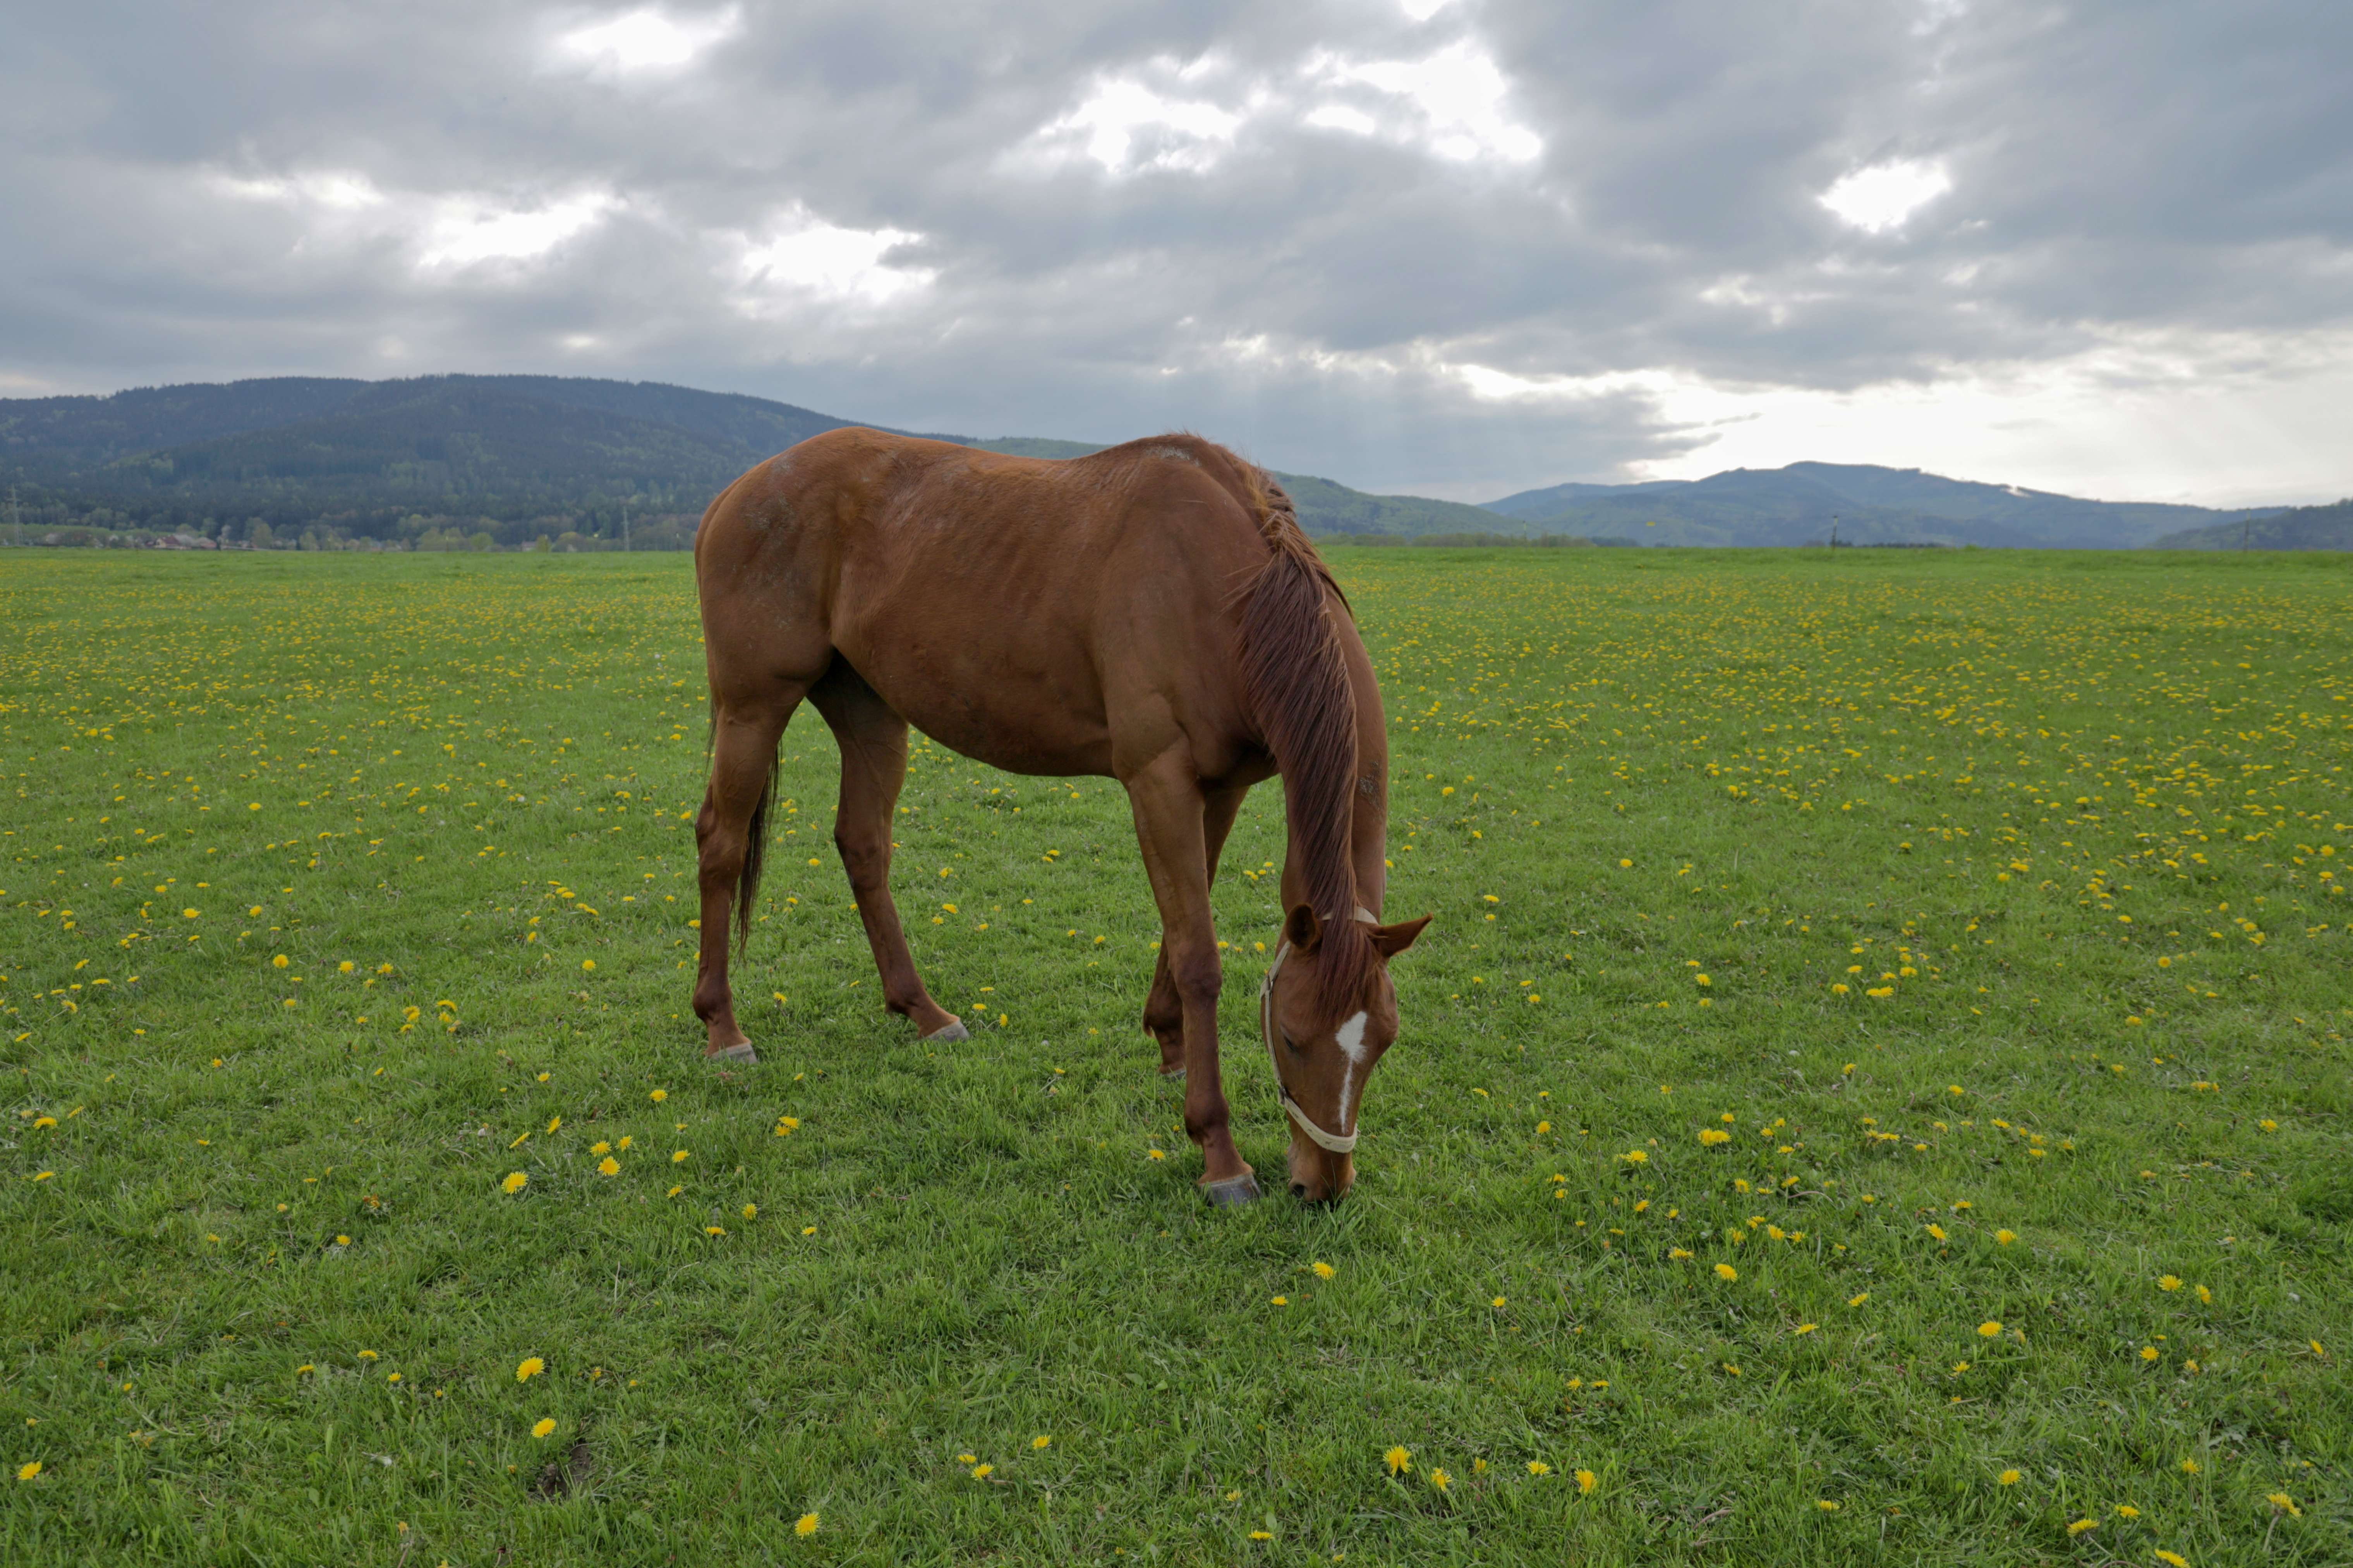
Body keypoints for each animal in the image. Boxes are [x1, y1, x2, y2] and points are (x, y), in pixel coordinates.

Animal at [678, 424, 1412, 1196]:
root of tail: (740, 490)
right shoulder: (1158, 780)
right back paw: (723, 1030)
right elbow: (1199, 958)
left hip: (870, 714)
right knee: (721, 843)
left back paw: (923, 1011)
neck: (1225, 589)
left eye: (1383, 1042)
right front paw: (1219, 1153)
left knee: (863, 845)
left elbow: (1184, 925)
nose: (1323, 1186)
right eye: (1292, 1037)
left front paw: (1170, 1042)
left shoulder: (1221, 787)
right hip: (754, 706)